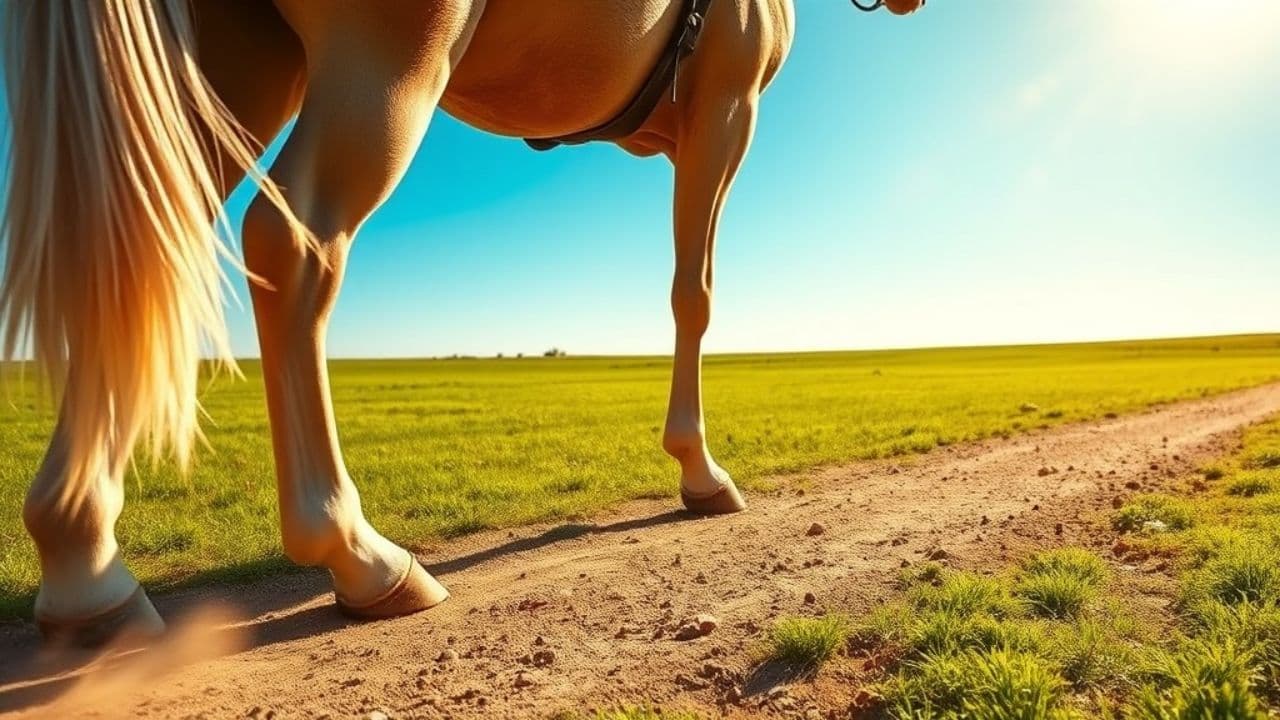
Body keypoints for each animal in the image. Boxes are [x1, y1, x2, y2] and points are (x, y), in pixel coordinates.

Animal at [1, 0, 922, 646]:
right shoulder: (724, 107)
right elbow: (692, 292)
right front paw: (701, 472)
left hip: (235, 62)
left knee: (137, 245)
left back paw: (86, 567)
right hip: (387, 60)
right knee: (294, 241)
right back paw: (357, 554)